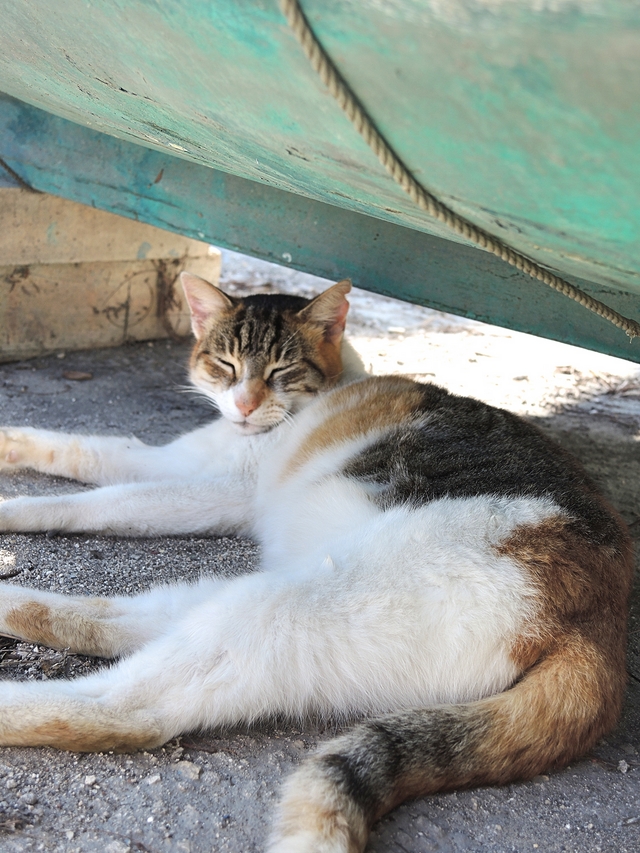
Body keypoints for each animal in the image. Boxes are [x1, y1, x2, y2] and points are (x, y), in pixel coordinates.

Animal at [0, 274, 632, 852]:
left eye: (282, 370)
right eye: (226, 364)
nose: (245, 406)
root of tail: (600, 624)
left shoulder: (220, 487)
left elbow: (102, 500)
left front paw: (14, 506)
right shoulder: (176, 460)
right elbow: (90, 451)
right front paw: (13, 446)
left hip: (302, 601)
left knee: (127, 709)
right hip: (288, 585)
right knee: (144, 621)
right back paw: (13, 603)